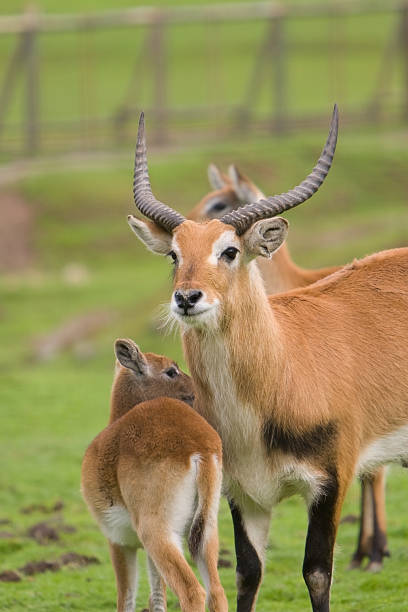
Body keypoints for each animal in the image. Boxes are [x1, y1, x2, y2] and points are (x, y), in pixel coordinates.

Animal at [79, 340, 226, 612]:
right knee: (217, 592)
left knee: (193, 591)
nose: (200, 392)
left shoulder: (119, 541)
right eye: (171, 371)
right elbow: (157, 597)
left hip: (157, 533)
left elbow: (126, 599)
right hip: (205, 530)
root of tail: (200, 446)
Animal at [129, 107, 408, 608]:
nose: (187, 298)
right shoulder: (245, 495)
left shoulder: (330, 483)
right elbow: (247, 573)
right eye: (174, 254)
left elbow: (317, 573)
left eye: (230, 250)